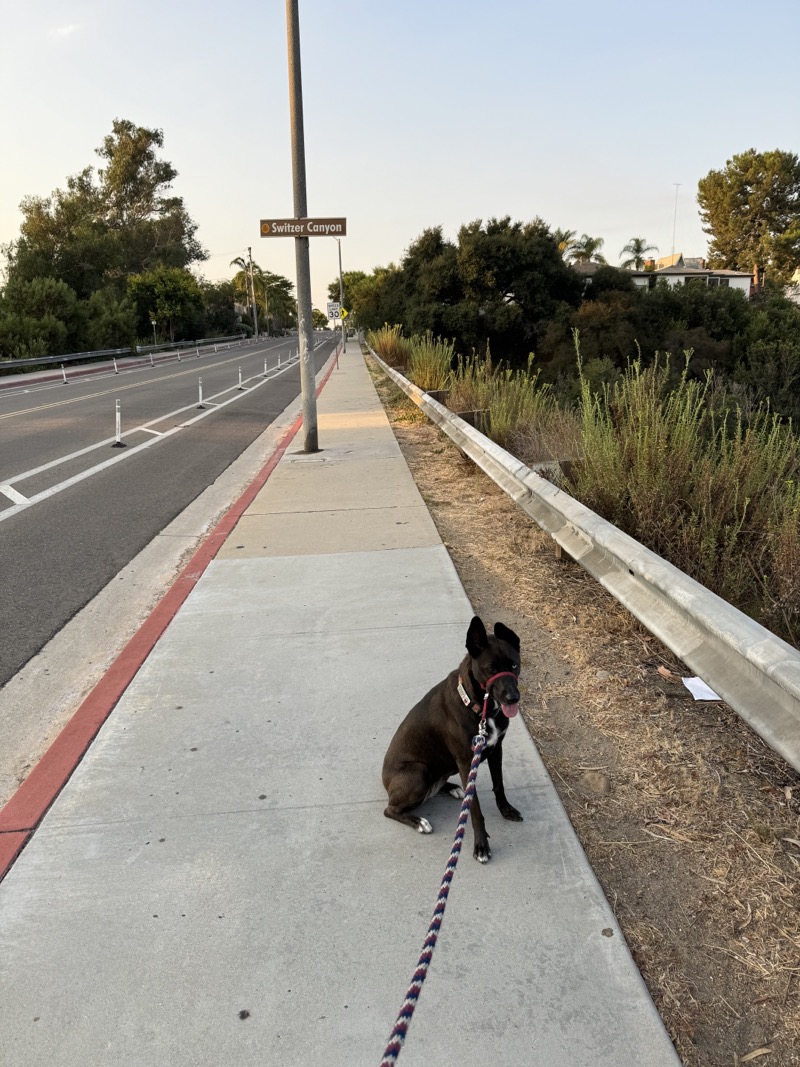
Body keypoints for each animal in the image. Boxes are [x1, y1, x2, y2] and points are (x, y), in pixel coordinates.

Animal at [384, 618, 526, 857]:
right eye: (490, 669)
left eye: (514, 665)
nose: (512, 698)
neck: (478, 707)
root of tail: (384, 782)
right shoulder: (467, 762)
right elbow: (474, 808)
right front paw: (481, 845)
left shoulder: (496, 748)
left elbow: (499, 785)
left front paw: (506, 810)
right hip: (418, 771)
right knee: (389, 809)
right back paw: (419, 821)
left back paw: (451, 788)